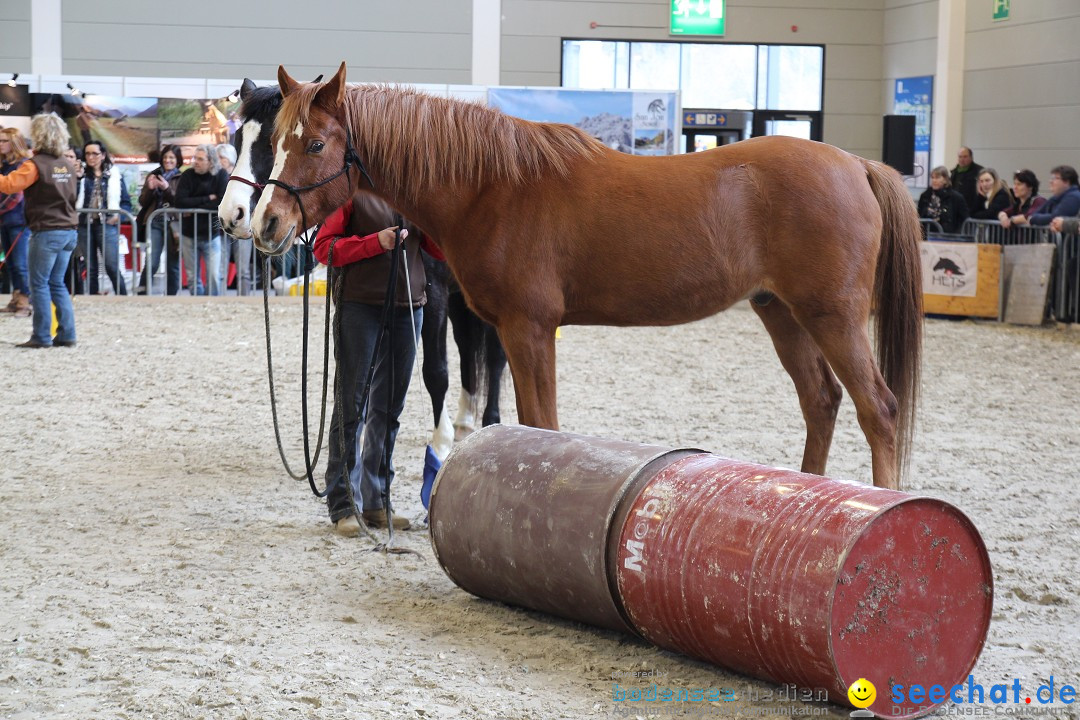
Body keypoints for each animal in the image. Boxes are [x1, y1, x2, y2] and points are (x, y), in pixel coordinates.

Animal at [220, 78, 509, 462]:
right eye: (238, 140)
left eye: (270, 142)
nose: (231, 216)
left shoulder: (431, 297)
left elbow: (435, 370)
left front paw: (440, 442)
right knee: (467, 349)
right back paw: (465, 421)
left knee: (494, 358)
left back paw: (490, 421)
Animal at [250, 64, 920, 490]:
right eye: (275, 141)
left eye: (314, 145)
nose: (262, 223)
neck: (491, 186)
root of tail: (856, 165)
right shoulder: (510, 332)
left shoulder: (529, 329)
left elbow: (543, 422)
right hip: (781, 311)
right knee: (821, 402)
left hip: (832, 316)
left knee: (880, 409)